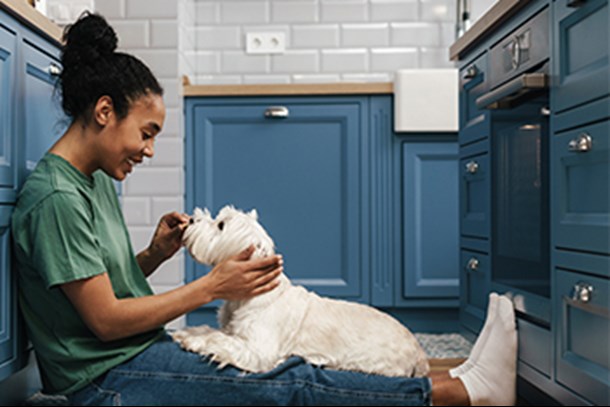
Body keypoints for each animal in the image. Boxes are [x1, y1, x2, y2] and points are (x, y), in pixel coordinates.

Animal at [171, 206, 428, 378]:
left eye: (221, 225)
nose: (191, 219)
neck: (246, 296)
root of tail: (418, 352)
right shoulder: (233, 329)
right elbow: (213, 331)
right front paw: (189, 333)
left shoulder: (257, 349)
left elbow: (221, 341)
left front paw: (195, 341)